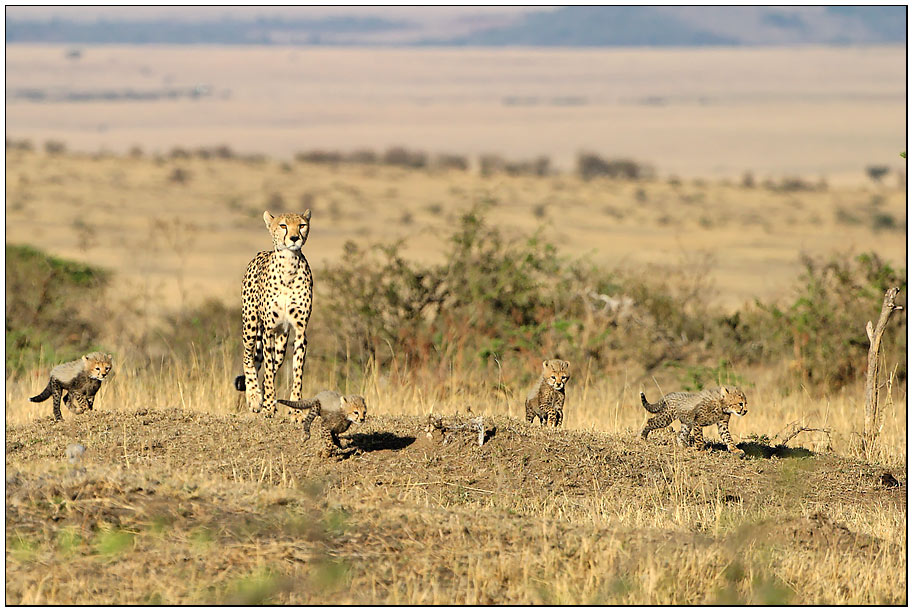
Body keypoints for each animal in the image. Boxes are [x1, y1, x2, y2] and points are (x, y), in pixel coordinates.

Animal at [235, 210, 314, 416]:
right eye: (283, 225)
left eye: (302, 225)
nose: (294, 238)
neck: (288, 267)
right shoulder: (269, 330)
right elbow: (269, 372)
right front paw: (269, 405)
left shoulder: (300, 331)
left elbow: (297, 372)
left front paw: (296, 410)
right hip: (251, 325)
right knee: (248, 357)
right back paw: (254, 397)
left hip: (281, 342)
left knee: (269, 364)